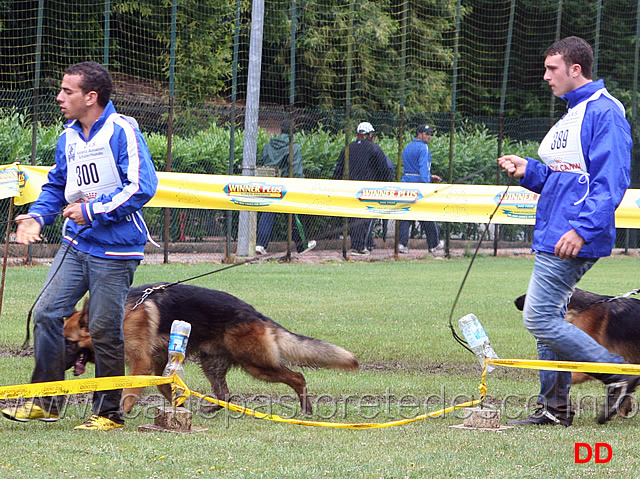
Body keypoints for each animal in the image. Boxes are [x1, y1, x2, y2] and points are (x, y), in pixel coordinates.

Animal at [63, 284, 360, 414]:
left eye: (68, 342)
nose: (63, 364)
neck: (121, 315)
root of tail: (256, 314)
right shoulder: (159, 362)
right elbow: (166, 388)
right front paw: (178, 408)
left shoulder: (141, 363)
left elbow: (130, 391)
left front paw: (119, 413)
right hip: (213, 363)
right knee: (224, 394)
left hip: (257, 365)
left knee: (297, 377)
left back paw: (307, 409)